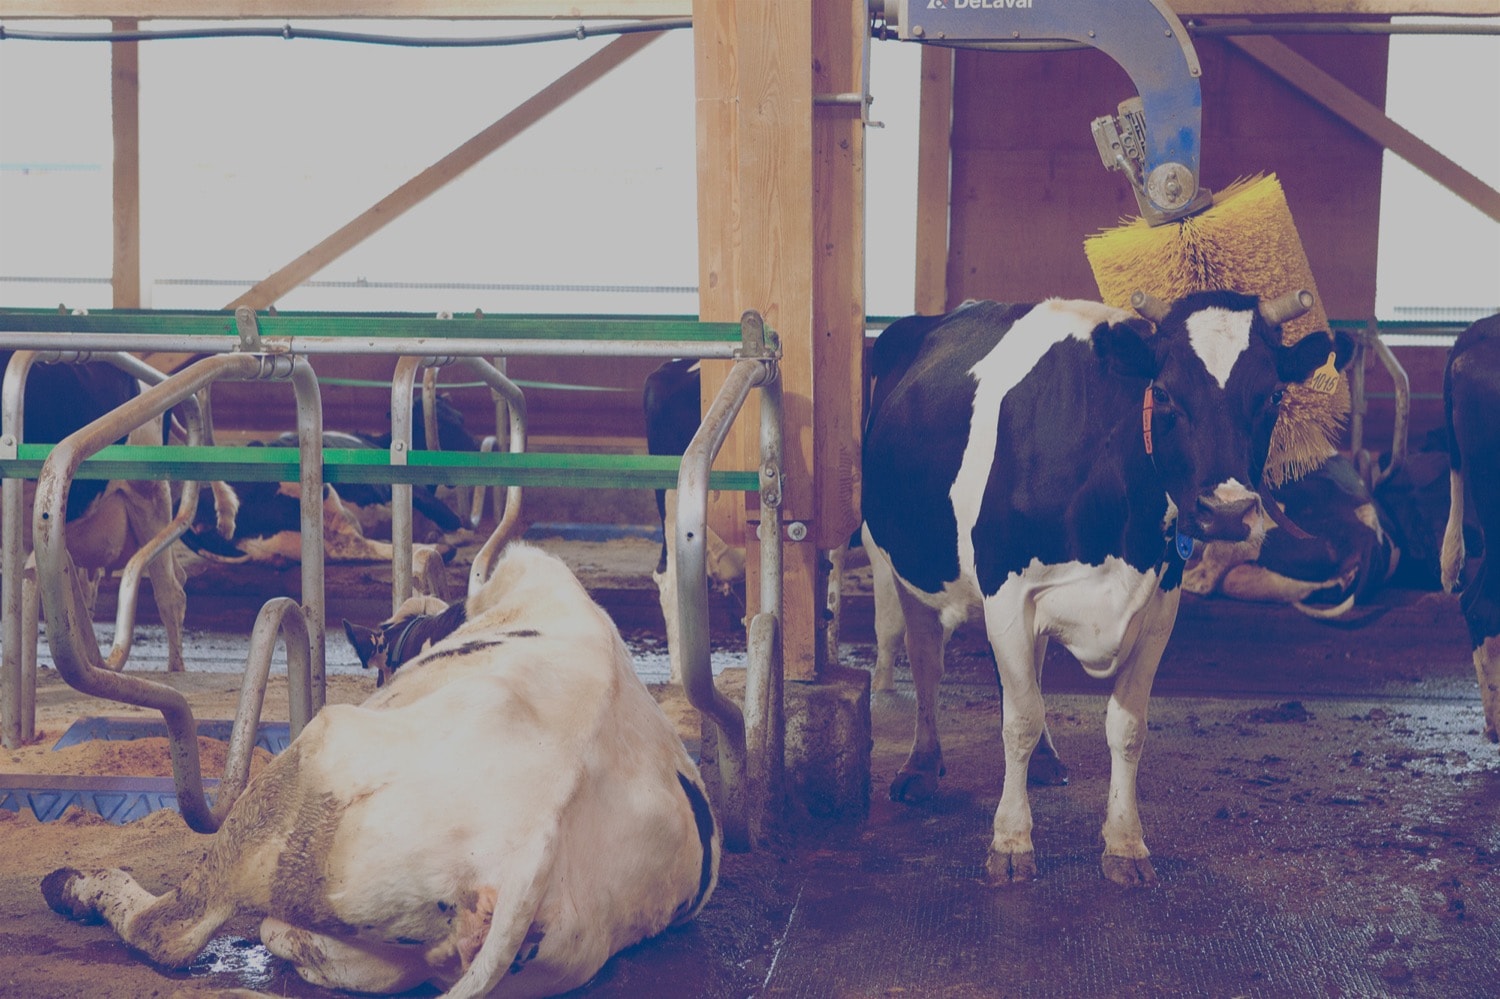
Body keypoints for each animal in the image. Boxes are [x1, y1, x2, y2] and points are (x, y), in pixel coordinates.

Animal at [864, 288, 1356, 882]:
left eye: (1274, 395)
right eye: (1162, 392)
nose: (1226, 512)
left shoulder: (1160, 605)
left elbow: (1125, 728)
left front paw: (1125, 844)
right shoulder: (1005, 589)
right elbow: (1019, 719)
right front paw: (1011, 842)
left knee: (1030, 669)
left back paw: (1045, 760)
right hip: (897, 561)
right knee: (925, 660)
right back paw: (920, 765)